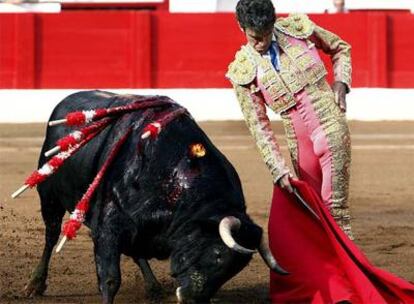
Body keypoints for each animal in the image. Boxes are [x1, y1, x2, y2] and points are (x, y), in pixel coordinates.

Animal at [24, 91, 286, 304]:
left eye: (236, 269)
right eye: (218, 254)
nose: (192, 299)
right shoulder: (109, 227)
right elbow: (110, 279)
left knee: (136, 251)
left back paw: (153, 287)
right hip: (49, 198)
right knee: (51, 236)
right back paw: (35, 284)